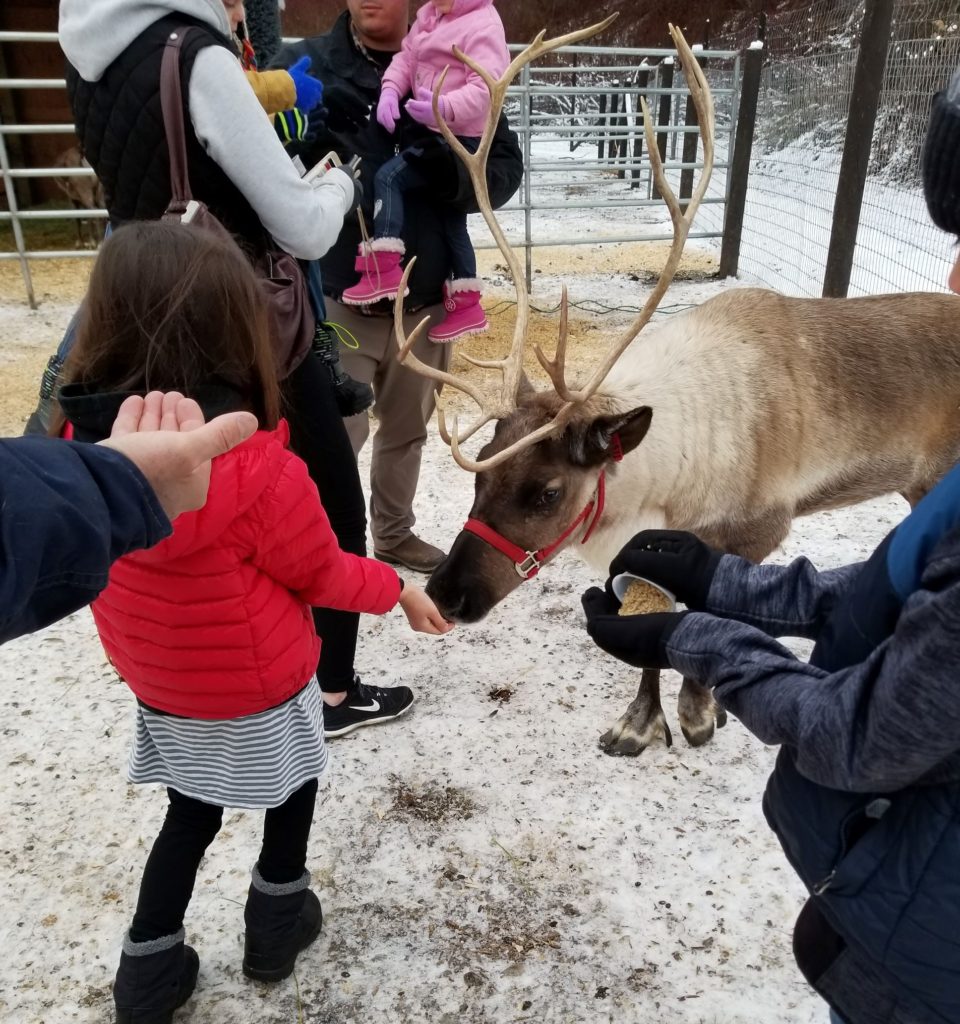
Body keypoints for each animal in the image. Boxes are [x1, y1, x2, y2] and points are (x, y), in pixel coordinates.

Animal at [393, 19, 960, 757]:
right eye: (479, 475)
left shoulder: (755, 530)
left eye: (546, 492)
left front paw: (691, 714)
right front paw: (643, 719)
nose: (445, 594)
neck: (664, 476)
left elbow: (687, 626)